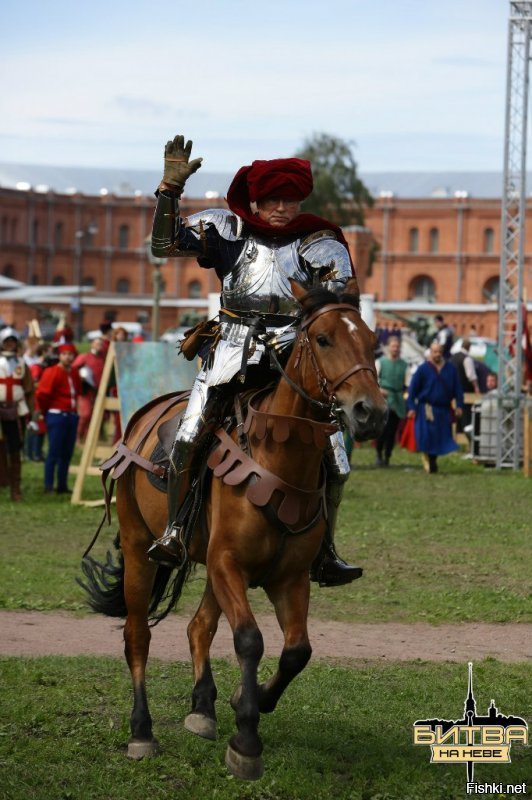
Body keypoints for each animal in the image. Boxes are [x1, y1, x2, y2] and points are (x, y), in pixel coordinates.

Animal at [79, 278, 384, 780]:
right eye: (323, 339)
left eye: (373, 340)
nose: (370, 412)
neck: (277, 456)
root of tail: (143, 416)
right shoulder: (228, 565)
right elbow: (249, 640)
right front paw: (246, 740)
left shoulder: (287, 577)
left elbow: (297, 650)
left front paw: (251, 699)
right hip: (140, 546)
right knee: (137, 636)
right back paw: (141, 732)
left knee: (199, 627)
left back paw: (203, 708)